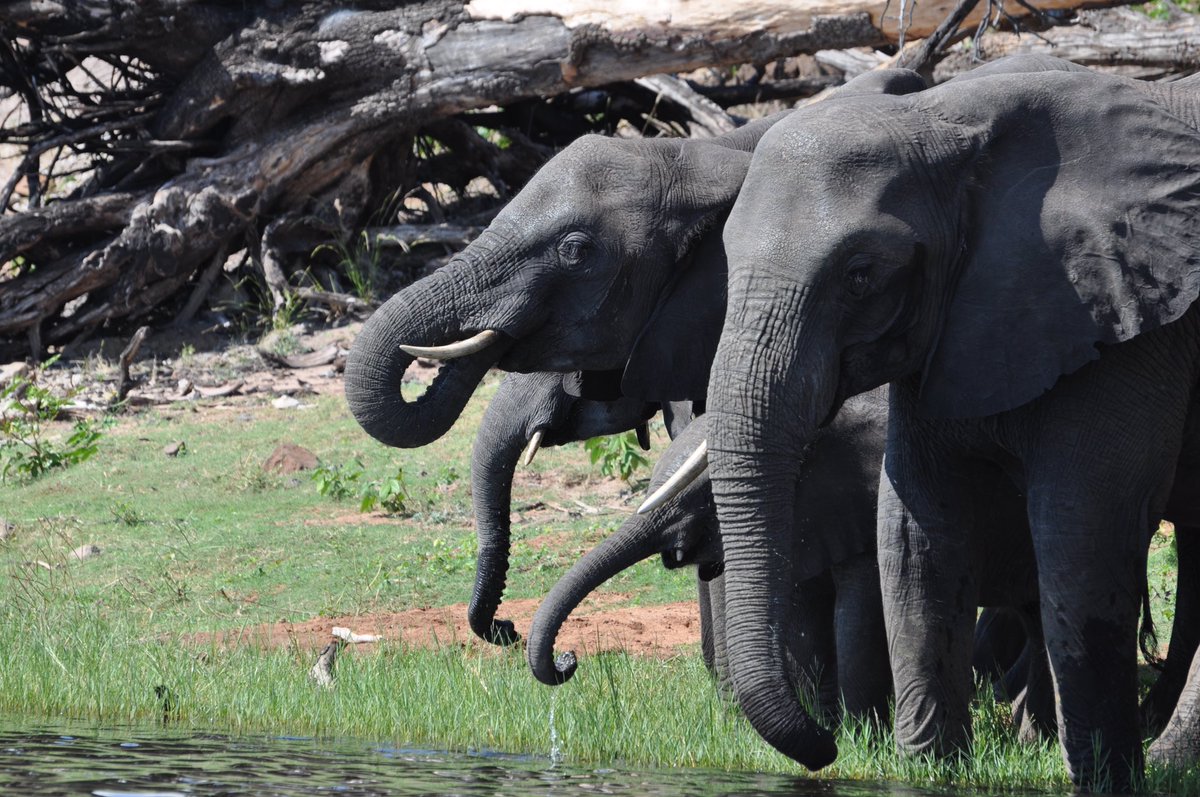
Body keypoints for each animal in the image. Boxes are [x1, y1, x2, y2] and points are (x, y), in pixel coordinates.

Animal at [673, 58, 1200, 788]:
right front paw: (929, 772)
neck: (945, 119)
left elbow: (1084, 529)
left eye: (860, 273)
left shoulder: (1131, 315)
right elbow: (917, 530)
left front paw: (1105, 781)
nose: (826, 747)